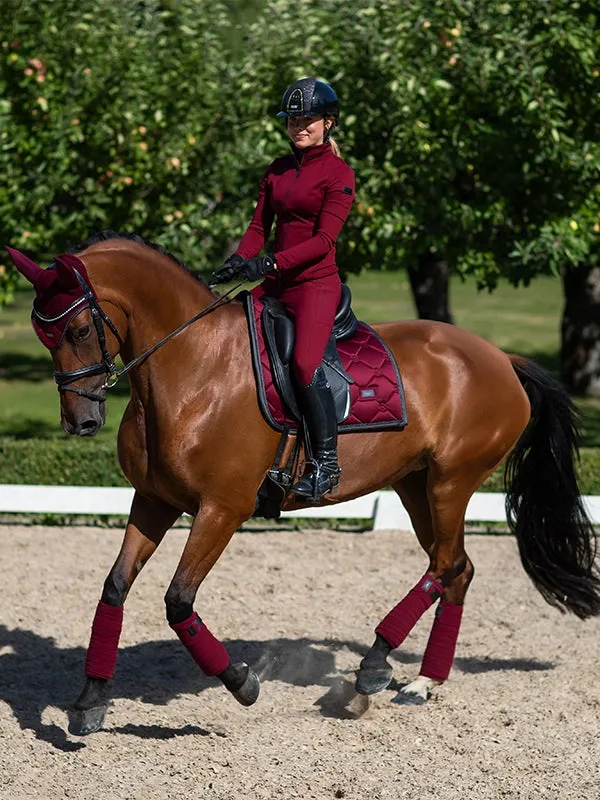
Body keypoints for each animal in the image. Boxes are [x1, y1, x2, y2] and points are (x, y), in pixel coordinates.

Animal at [5, 230, 600, 732]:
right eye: (43, 334)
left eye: (80, 330)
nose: (81, 423)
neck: (191, 367)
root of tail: (499, 356)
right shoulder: (153, 500)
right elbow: (114, 588)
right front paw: (89, 700)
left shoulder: (222, 509)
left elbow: (178, 601)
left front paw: (241, 683)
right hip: (416, 487)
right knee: (457, 568)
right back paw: (424, 682)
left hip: (452, 482)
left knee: (446, 565)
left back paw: (372, 669)